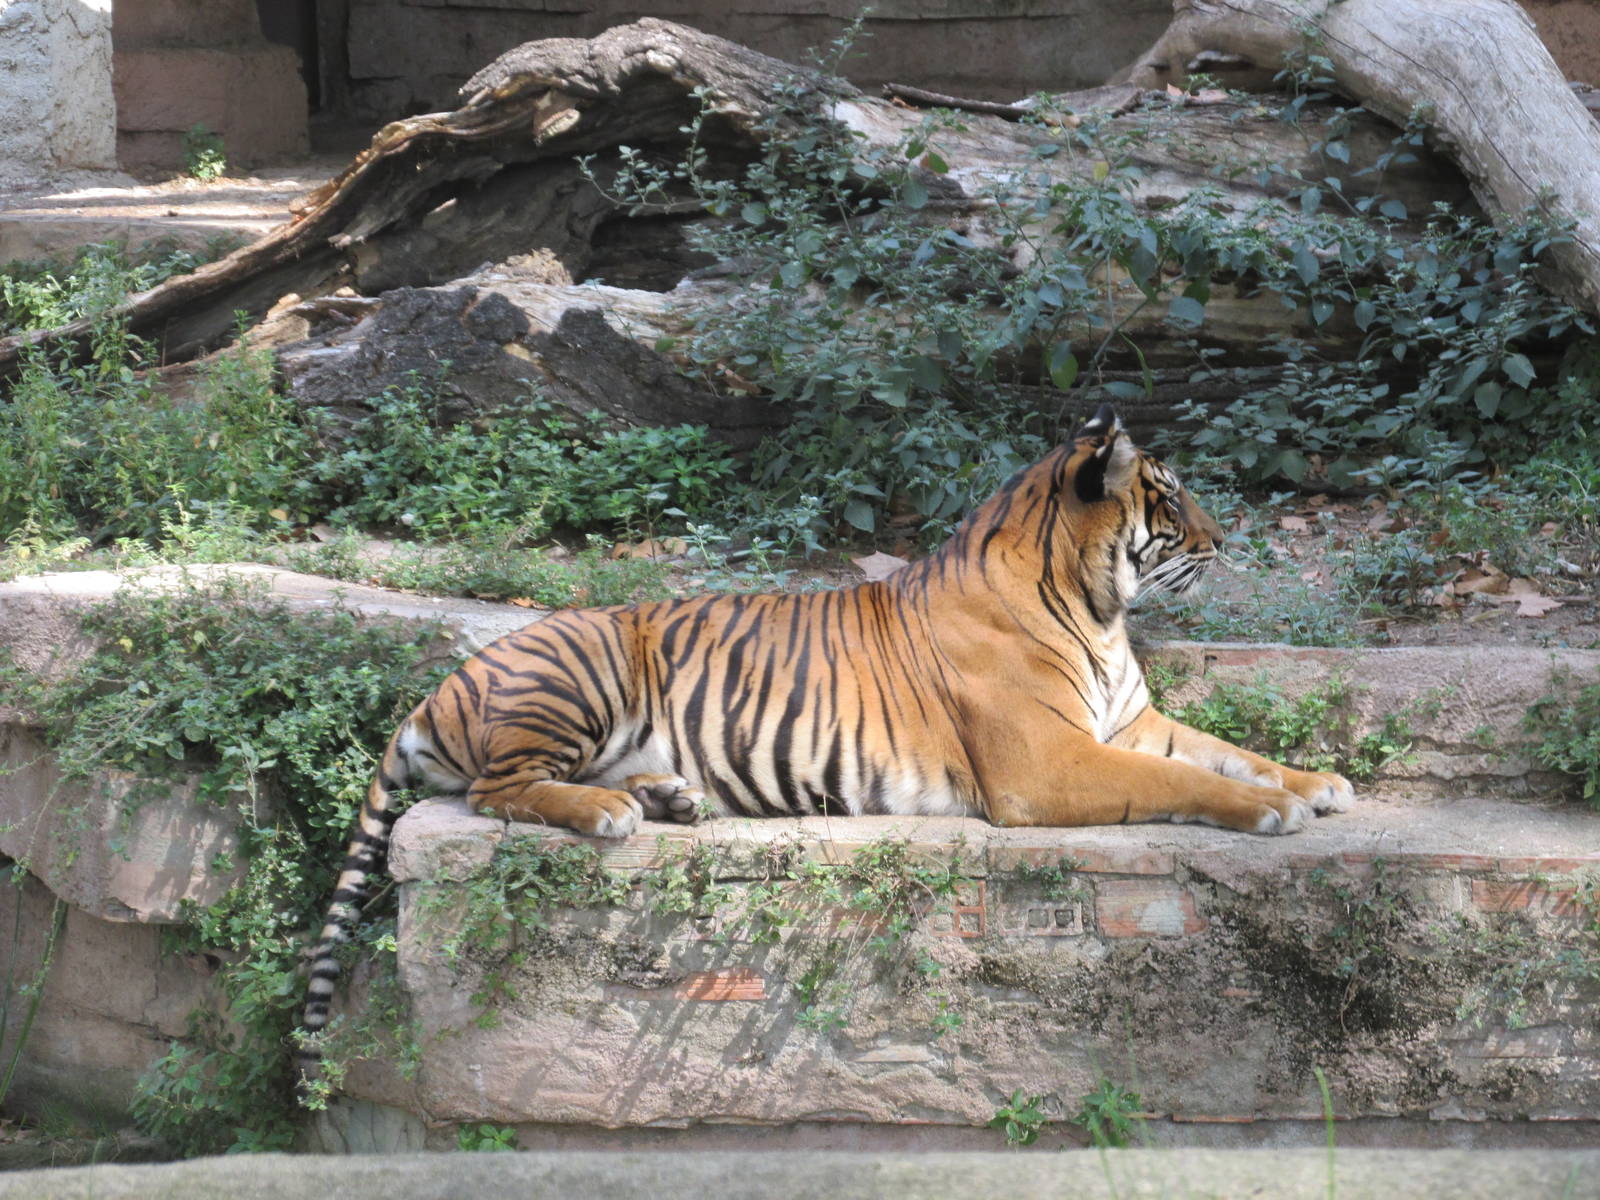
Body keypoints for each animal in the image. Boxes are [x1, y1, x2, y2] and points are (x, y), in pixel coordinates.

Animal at [297, 404, 1352, 1087]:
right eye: (1169, 501)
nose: (1227, 540)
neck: (1100, 609)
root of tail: (440, 685)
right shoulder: (1049, 762)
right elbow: (1181, 779)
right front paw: (1274, 809)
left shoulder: (1130, 719)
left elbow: (1222, 748)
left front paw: (1320, 781)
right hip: (584, 666)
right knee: (499, 789)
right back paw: (610, 812)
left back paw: (668, 797)